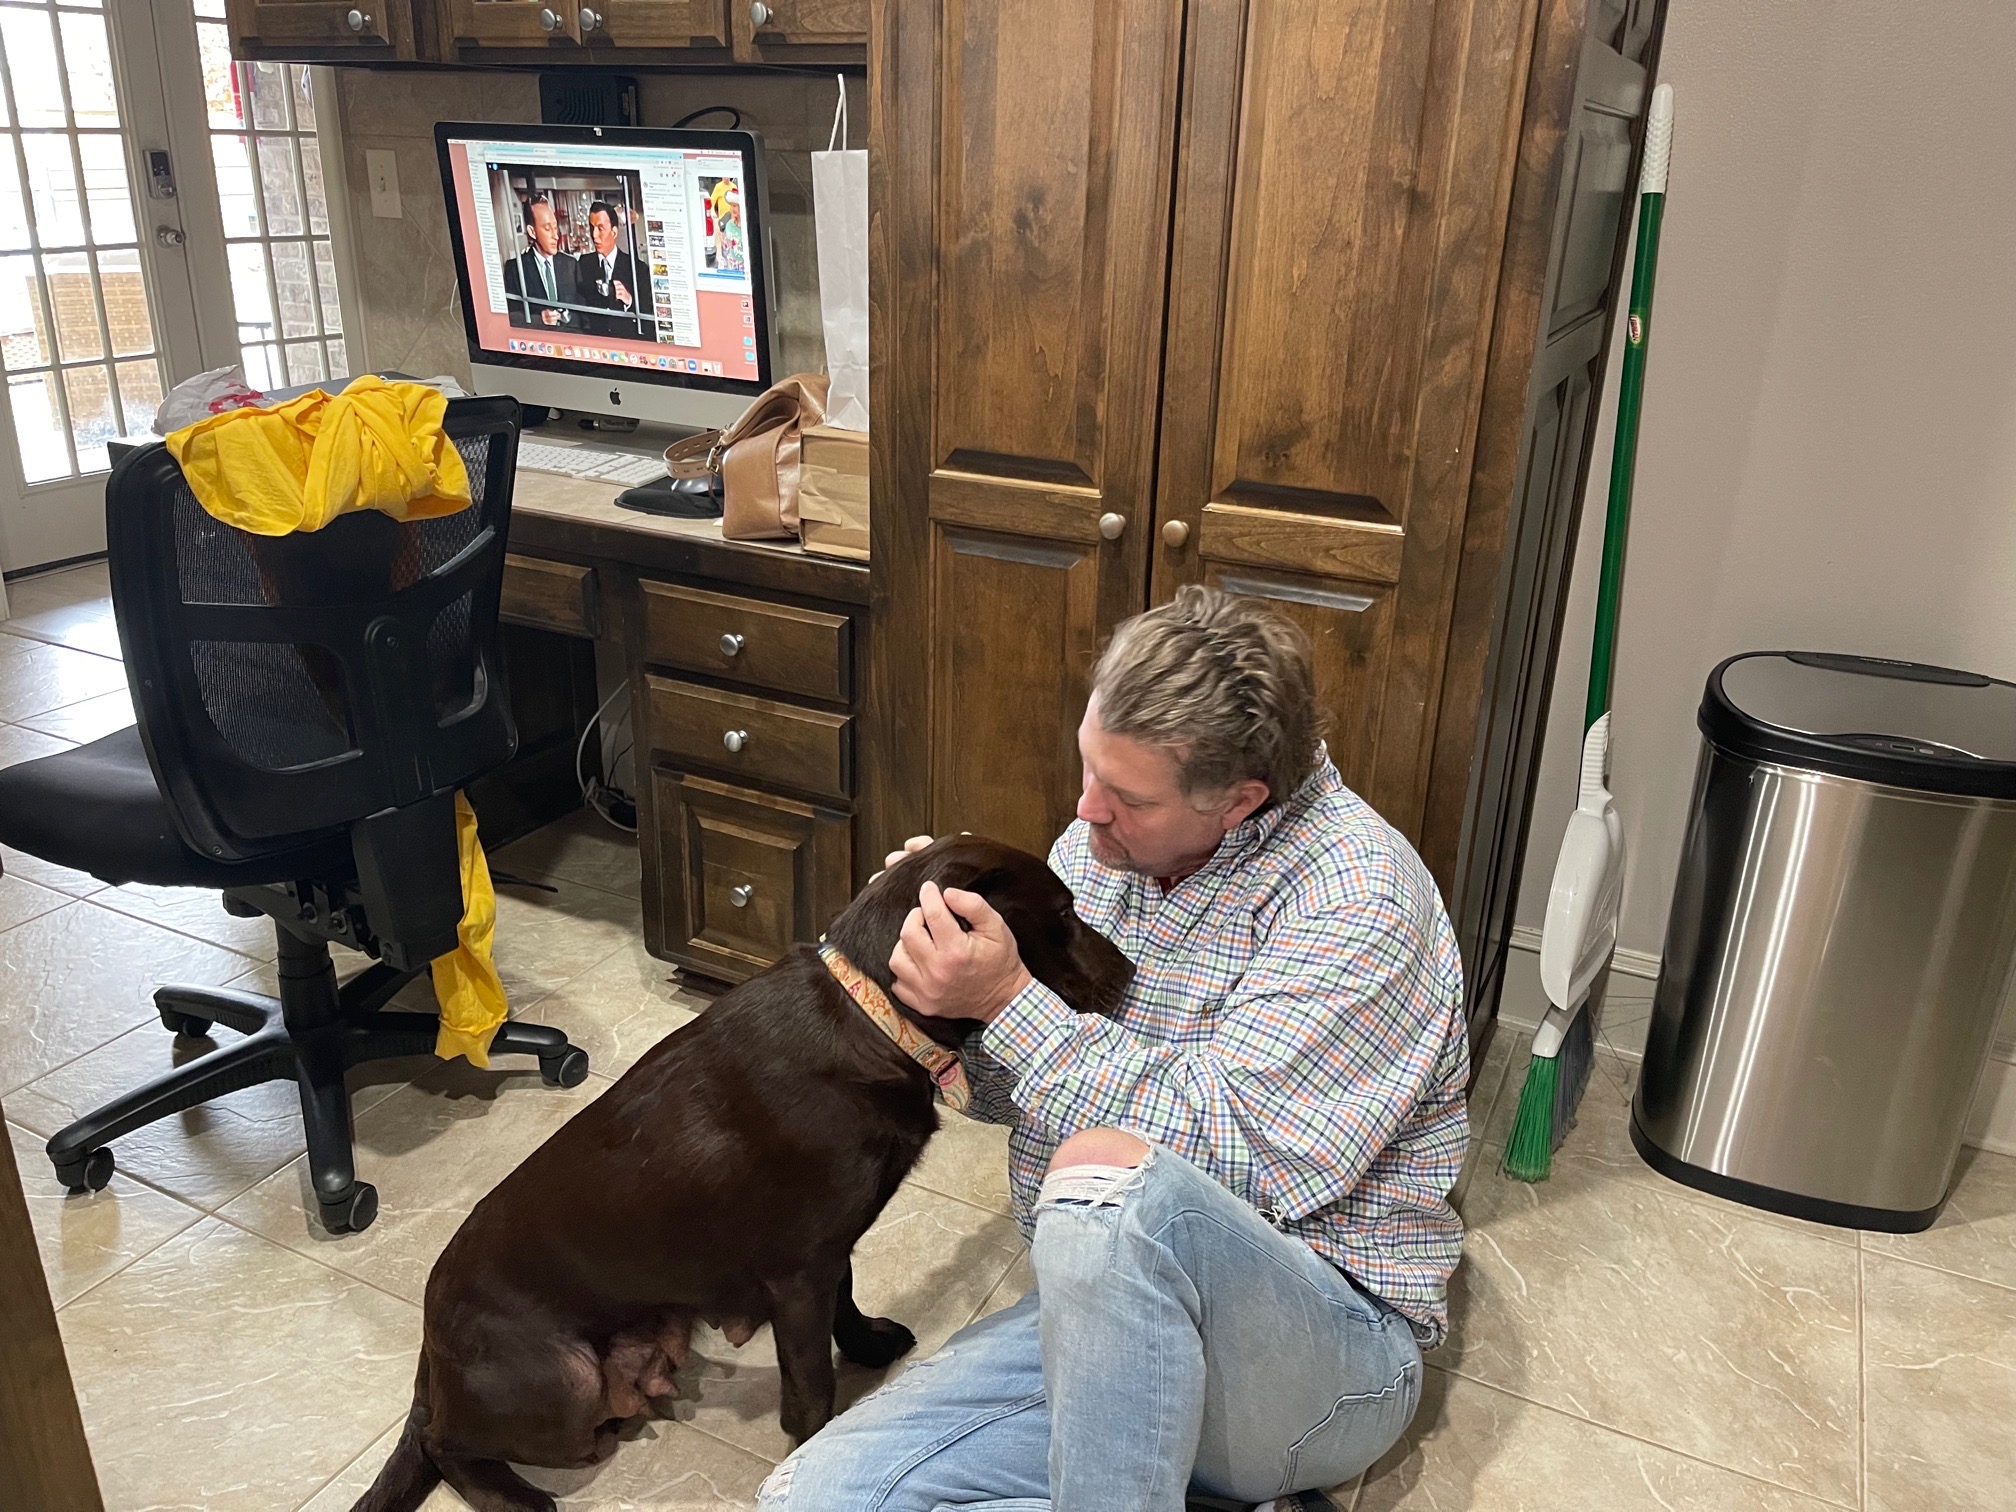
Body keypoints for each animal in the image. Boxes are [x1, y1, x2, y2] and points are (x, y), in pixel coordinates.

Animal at [351, 834, 1134, 1512]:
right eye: (1062, 916)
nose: (1129, 975)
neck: (871, 1017)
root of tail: (429, 1342)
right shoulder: (799, 1269)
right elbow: (812, 1383)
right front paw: (810, 1443)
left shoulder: (824, 1255)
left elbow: (846, 1298)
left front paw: (868, 1344)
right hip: (562, 1385)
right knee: (441, 1443)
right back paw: (515, 1496)